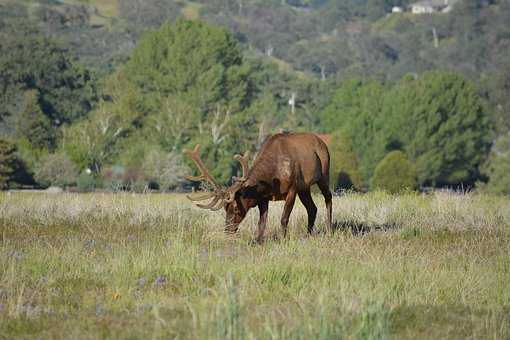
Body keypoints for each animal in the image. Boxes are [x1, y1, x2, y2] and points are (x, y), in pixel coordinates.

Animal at [185, 132, 332, 242]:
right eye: (225, 208)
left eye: (236, 208)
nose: (228, 230)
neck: (272, 178)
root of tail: (323, 143)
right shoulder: (263, 197)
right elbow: (262, 222)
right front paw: (258, 241)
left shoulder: (292, 189)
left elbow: (284, 219)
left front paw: (283, 239)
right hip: (304, 188)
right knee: (312, 208)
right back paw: (308, 234)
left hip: (323, 174)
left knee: (328, 197)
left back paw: (329, 229)